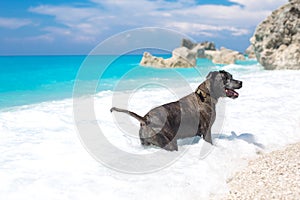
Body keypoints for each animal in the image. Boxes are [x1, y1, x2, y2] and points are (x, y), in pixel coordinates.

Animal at [111, 70, 243, 150]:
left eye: (231, 76)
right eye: (226, 78)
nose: (240, 82)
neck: (206, 95)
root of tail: (145, 119)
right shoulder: (206, 131)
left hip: (146, 143)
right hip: (169, 142)